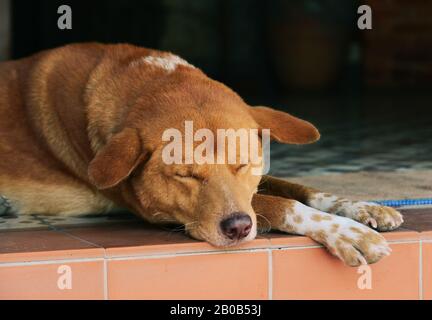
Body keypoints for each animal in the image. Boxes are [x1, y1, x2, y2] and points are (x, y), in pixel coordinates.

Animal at [0, 43, 404, 266]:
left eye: (243, 164)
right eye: (186, 175)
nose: (238, 228)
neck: (148, 80)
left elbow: (297, 189)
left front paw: (361, 207)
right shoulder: (151, 211)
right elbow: (280, 204)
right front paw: (346, 232)